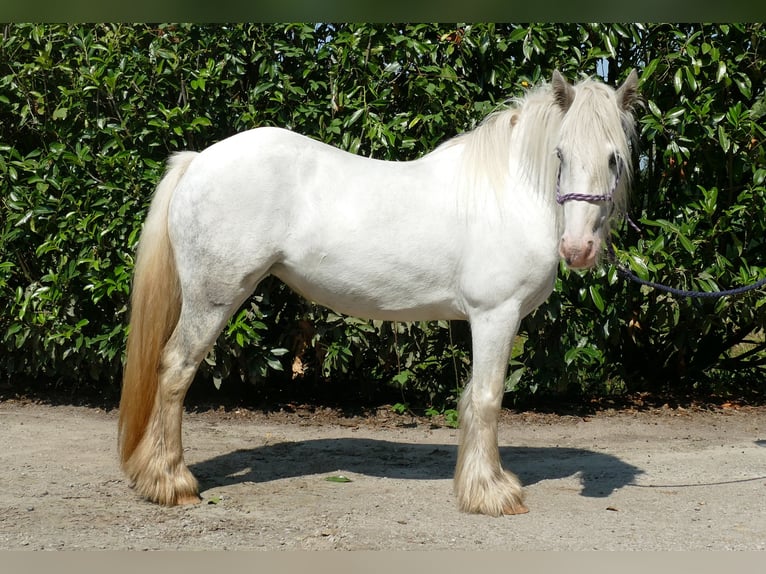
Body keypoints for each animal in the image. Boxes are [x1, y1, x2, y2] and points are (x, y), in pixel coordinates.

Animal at [117, 71, 640, 516]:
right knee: (175, 371)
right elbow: (488, 398)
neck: (506, 192)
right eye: (560, 154)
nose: (578, 249)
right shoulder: (496, 315)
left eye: (614, 157)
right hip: (213, 299)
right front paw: (492, 494)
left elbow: (471, 399)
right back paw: (171, 483)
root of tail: (197, 162)